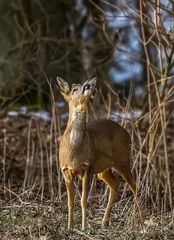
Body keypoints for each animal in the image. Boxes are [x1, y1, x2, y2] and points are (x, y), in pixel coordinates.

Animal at [57, 75, 140, 231]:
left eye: (84, 85)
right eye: (74, 89)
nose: (88, 86)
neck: (73, 150)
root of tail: (126, 133)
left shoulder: (87, 167)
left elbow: (84, 200)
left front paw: (83, 227)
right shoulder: (65, 170)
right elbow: (70, 202)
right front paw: (69, 227)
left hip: (123, 158)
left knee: (133, 183)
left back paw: (141, 221)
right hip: (103, 169)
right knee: (115, 183)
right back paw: (104, 222)